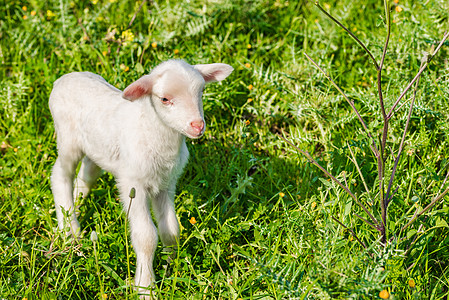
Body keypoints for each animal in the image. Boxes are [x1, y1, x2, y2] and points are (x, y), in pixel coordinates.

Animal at [48, 59, 233, 296]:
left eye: (201, 91)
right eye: (164, 99)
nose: (197, 125)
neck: (152, 131)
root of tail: (63, 79)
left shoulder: (166, 185)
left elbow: (171, 229)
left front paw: (171, 266)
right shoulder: (133, 185)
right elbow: (146, 237)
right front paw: (146, 286)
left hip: (96, 147)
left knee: (87, 173)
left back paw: (77, 208)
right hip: (67, 138)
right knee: (60, 175)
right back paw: (70, 229)